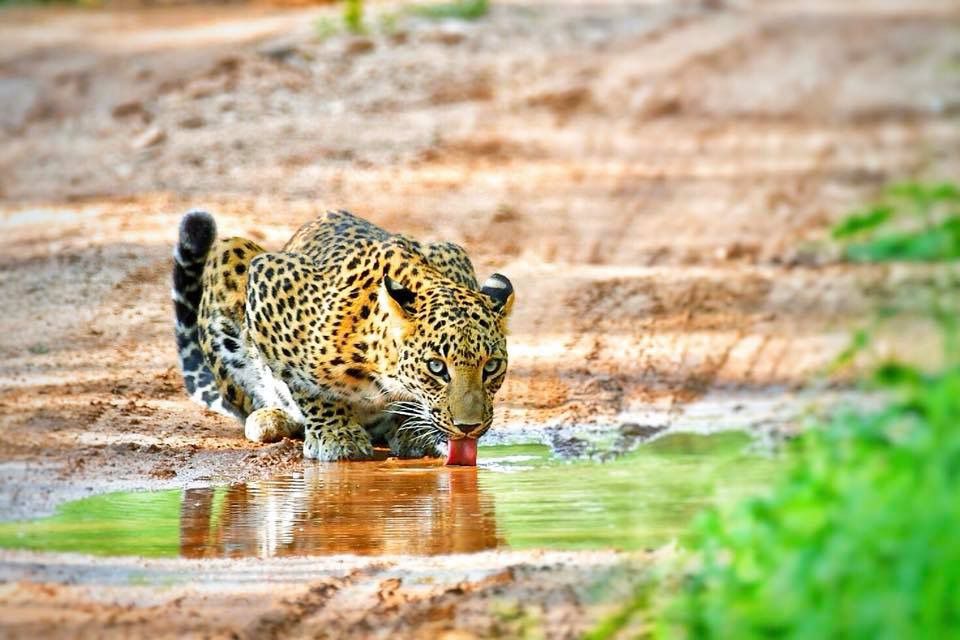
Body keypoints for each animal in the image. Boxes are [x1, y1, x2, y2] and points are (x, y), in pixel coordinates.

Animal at [171, 209, 514, 462]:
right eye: (436, 367)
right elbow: (305, 385)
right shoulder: (269, 278)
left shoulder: (452, 252)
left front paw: (413, 430)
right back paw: (271, 418)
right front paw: (337, 435)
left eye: (491, 367)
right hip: (230, 252)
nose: (468, 428)